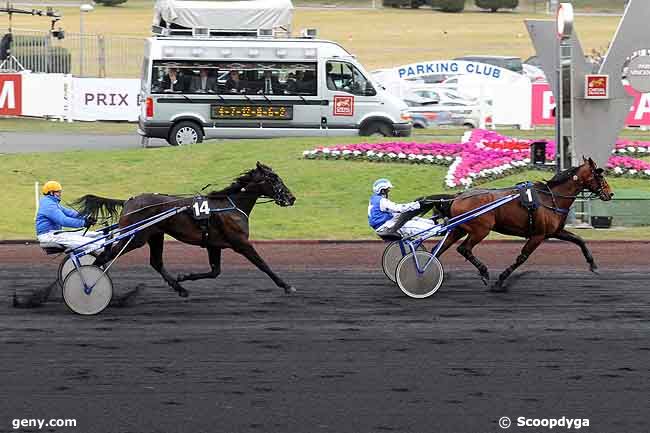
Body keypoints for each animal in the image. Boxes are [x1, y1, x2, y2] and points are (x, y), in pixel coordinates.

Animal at [75, 162, 296, 296]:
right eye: (274, 179)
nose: (291, 197)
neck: (230, 205)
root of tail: (129, 201)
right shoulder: (241, 243)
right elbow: (263, 264)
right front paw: (286, 285)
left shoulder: (214, 245)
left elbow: (215, 271)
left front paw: (184, 276)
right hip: (135, 238)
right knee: (105, 256)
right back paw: (89, 284)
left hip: (155, 235)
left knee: (156, 262)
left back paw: (180, 288)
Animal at [430, 157, 612, 292]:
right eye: (600, 175)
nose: (610, 194)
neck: (551, 198)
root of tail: (457, 197)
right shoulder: (538, 235)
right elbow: (522, 257)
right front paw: (500, 281)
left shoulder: (555, 232)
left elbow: (579, 240)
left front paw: (593, 264)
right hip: (480, 230)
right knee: (464, 249)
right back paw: (483, 271)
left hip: (459, 229)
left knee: (439, 249)